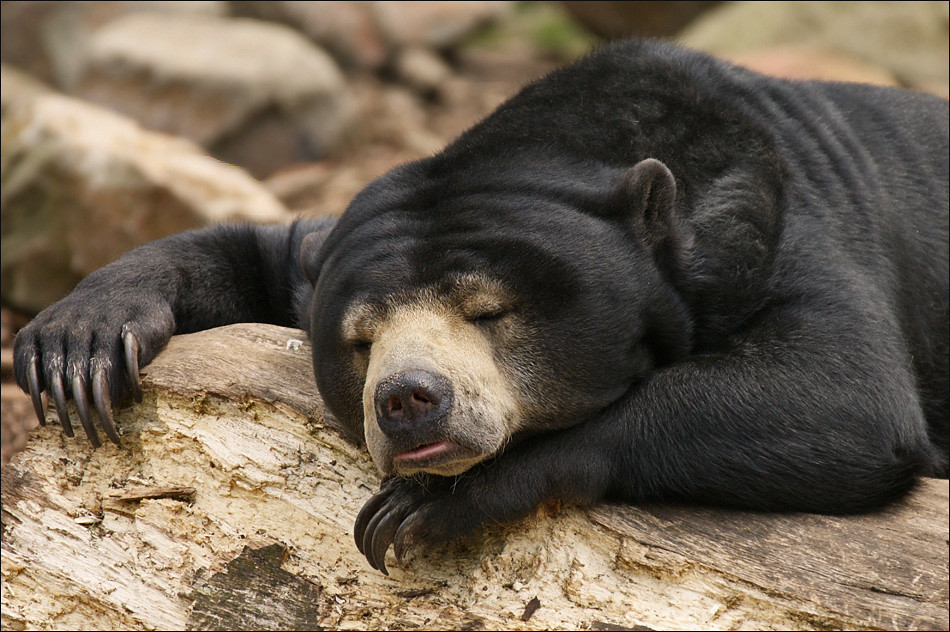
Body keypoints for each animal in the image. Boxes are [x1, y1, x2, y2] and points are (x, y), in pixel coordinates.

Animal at [14, 40, 949, 575]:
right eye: (361, 341)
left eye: (489, 312)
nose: (407, 400)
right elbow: (269, 248)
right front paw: (78, 345)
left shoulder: (778, 220)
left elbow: (842, 396)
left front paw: (429, 506)